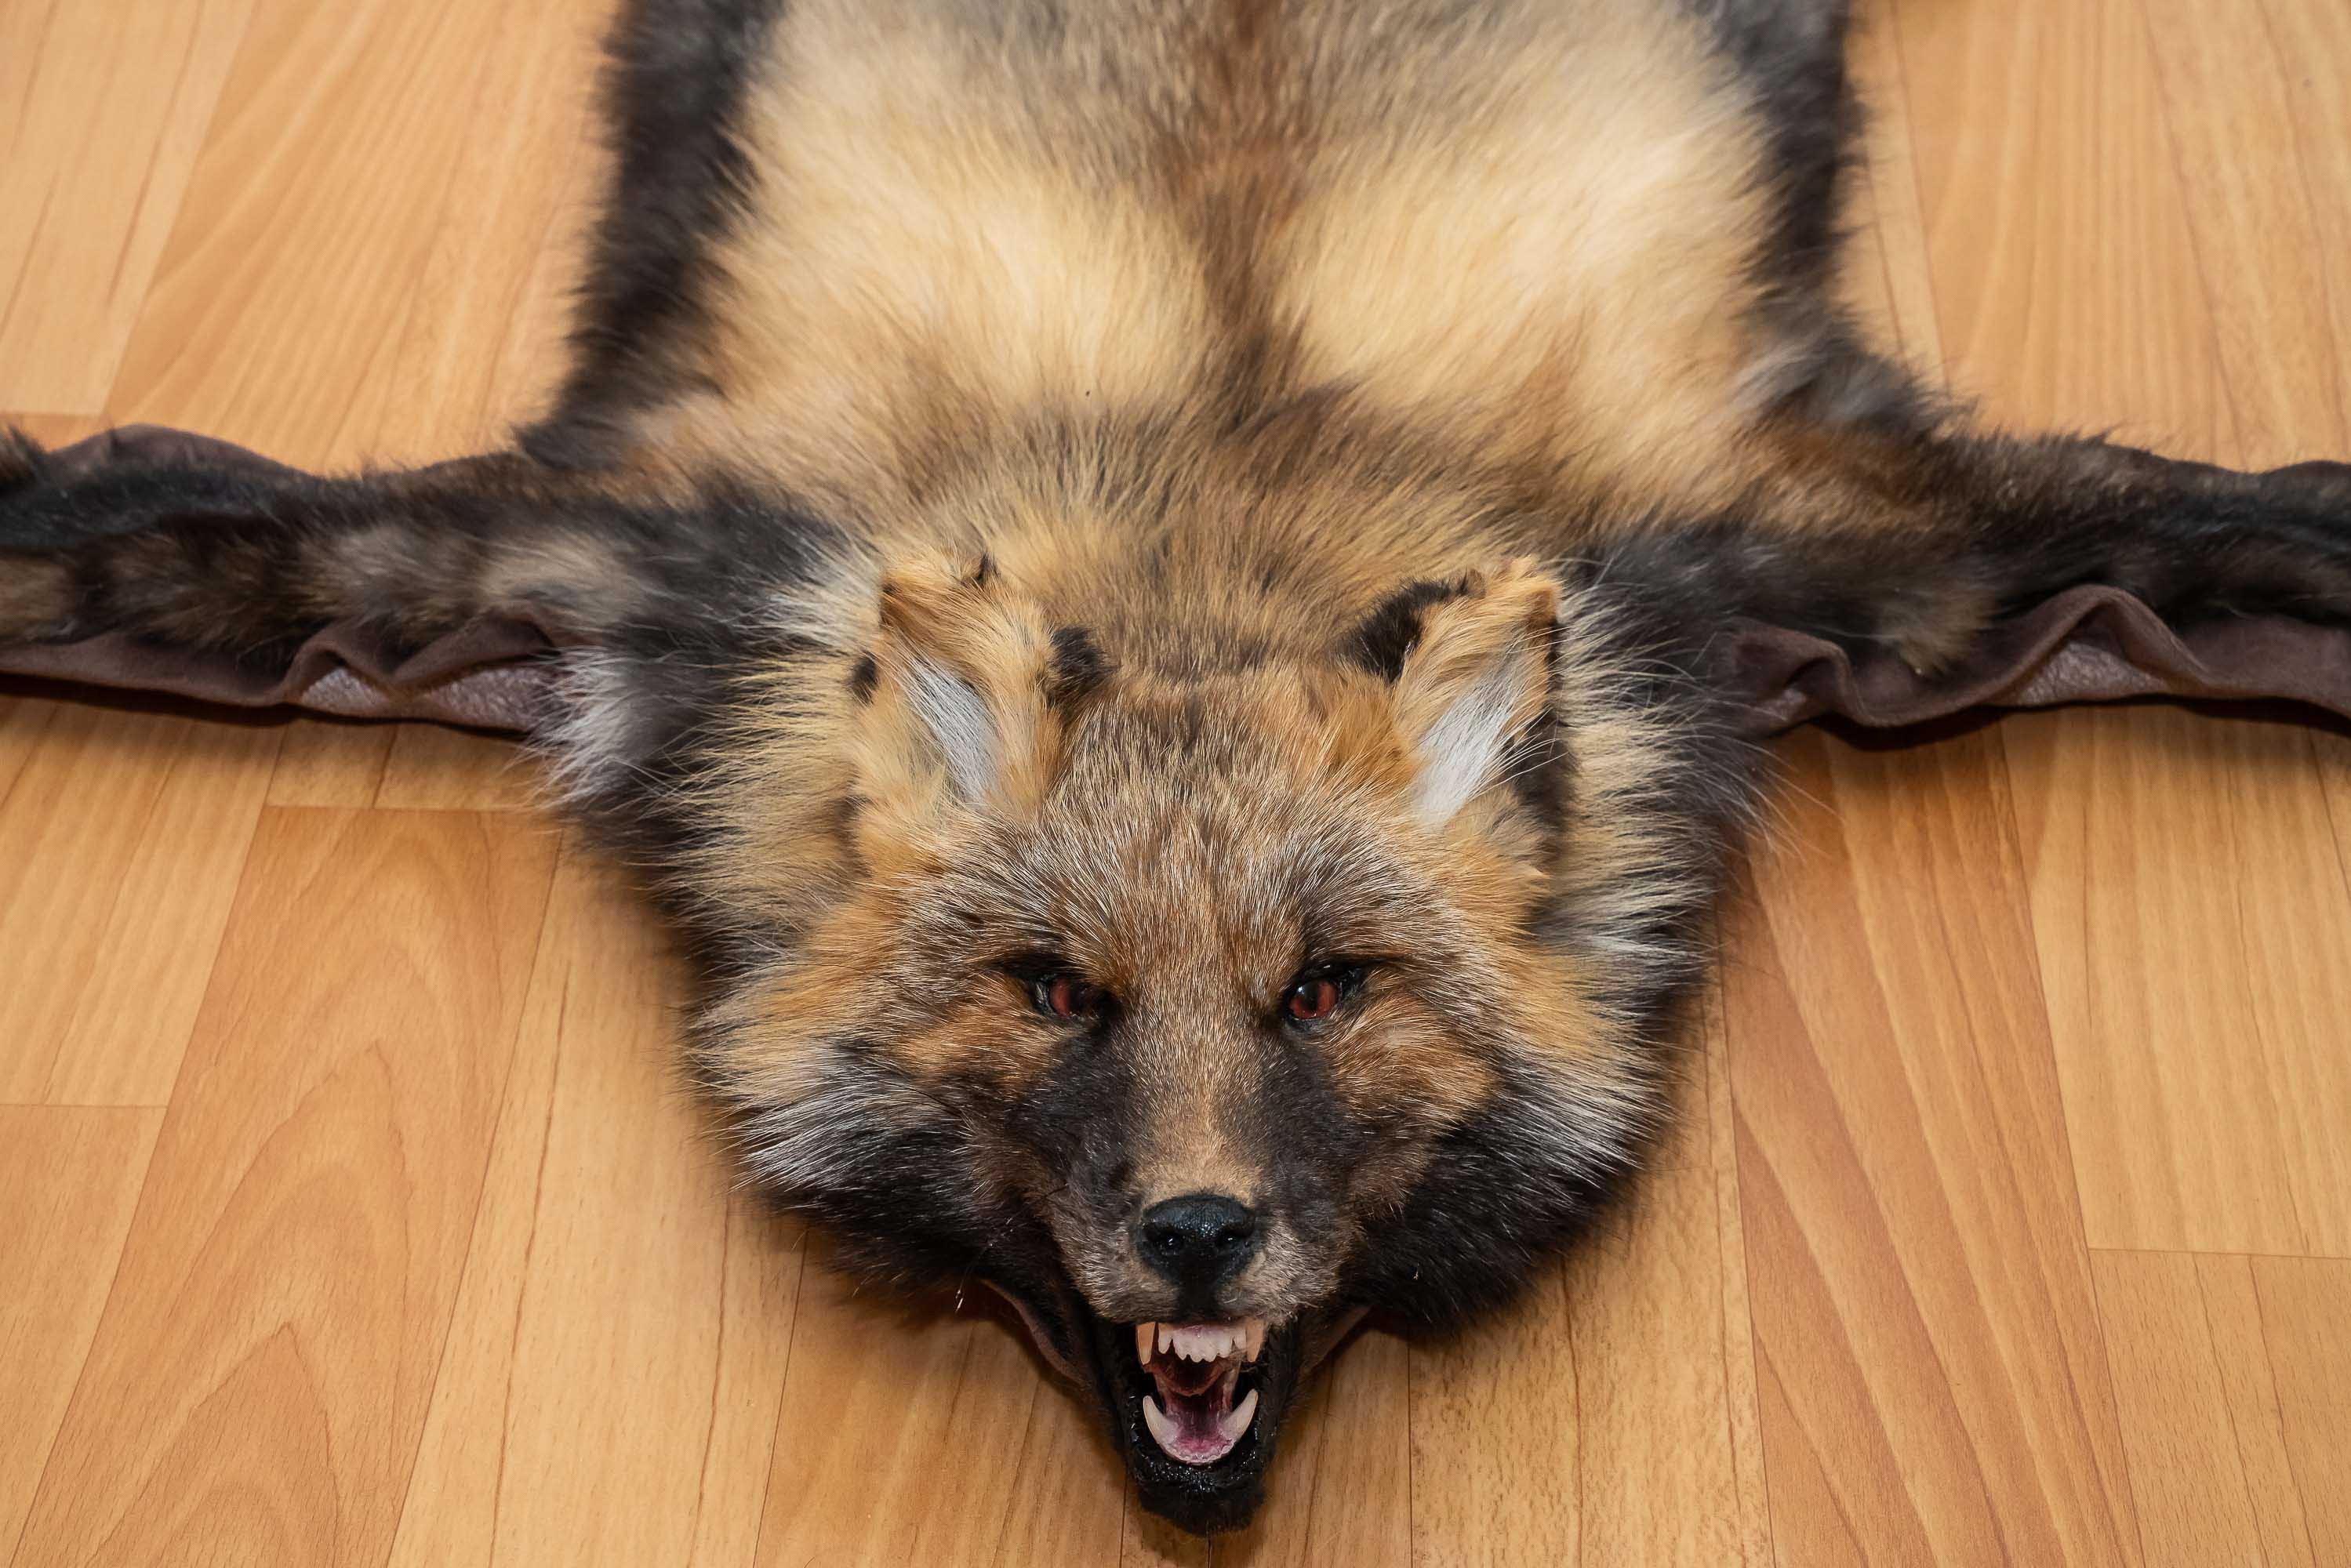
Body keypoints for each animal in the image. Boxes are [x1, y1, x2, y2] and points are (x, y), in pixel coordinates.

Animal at [4, 0, 2351, 1537]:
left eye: (1328, 989)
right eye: (1054, 991)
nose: (1201, 1234)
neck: (1213, 505)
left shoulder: (1828, 552)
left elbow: (2243, 536)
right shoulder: (616, 547)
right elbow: (172, 541)